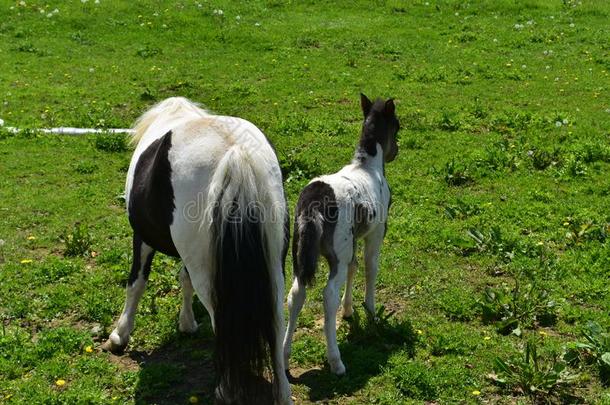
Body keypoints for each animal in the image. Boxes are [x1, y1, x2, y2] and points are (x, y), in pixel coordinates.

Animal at [102, 97, 292, 404]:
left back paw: (227, 389)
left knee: (222, 318)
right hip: (272, 264)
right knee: (275, 317)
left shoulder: (142, 237)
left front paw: (119, 335)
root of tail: (235, 152)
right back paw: (283, 392)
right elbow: (184, 279)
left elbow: (136, 283)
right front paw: (187, 323)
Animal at [282, 93, 400, 374]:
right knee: (328, 295)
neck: (368, 167)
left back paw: (284, 357)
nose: (396, 152)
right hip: (336, 254)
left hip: (299, 255)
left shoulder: (353, 240)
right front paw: (370, 311)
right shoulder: (376, 232)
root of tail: (314, 203)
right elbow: (370, 266)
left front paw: (348, 311)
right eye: (398, 126)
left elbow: (354, 267)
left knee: (295, 294)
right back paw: (336, 361)